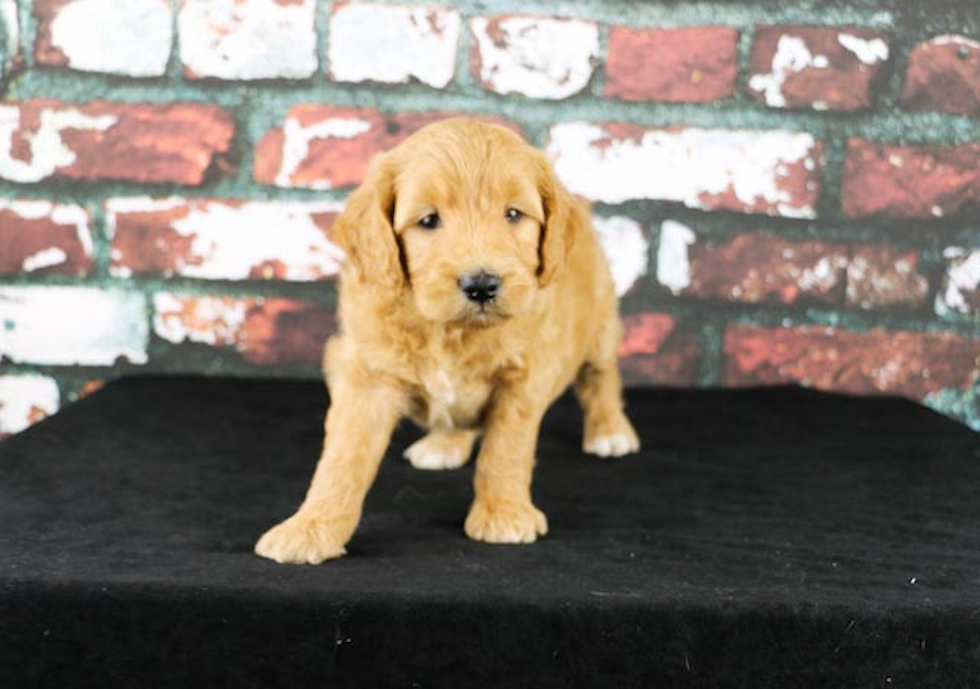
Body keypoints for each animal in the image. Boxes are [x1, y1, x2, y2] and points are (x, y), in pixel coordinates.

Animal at [255, 118, 636, 564]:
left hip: (601, 321)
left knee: (601, 376)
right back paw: (445, 443)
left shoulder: (522, 379)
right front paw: (310, 528)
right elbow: (342, 459)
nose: (482, 284)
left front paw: (503, 512)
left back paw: (609, 431)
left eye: (513, 214)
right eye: (428, 221)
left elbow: (505, 449)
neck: (450, 330)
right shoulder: (366, 375)